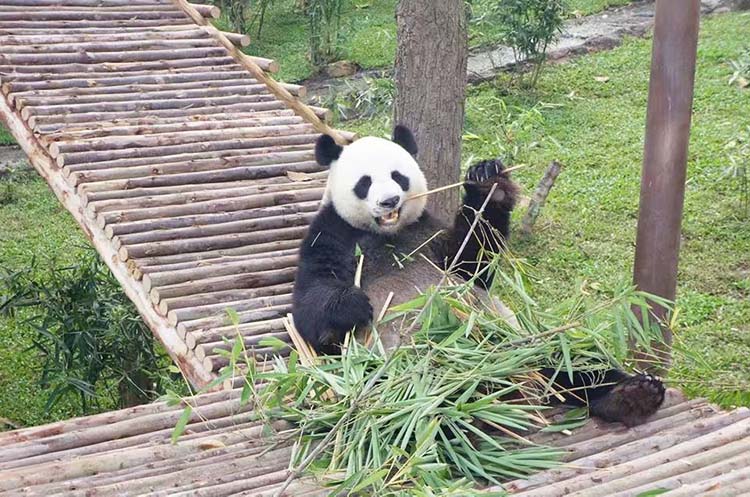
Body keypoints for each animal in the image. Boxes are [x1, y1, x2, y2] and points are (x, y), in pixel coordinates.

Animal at [290, 124, 668, 426]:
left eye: (398, 176)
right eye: (365, 182)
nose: (389, 202)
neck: (389, 234)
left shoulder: (428, 233)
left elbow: (473, 266)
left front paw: (489, 183)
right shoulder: (332, 235)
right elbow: (310, 310)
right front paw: (352, 304)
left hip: (528, 341)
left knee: (572, 364)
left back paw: (633, 395)